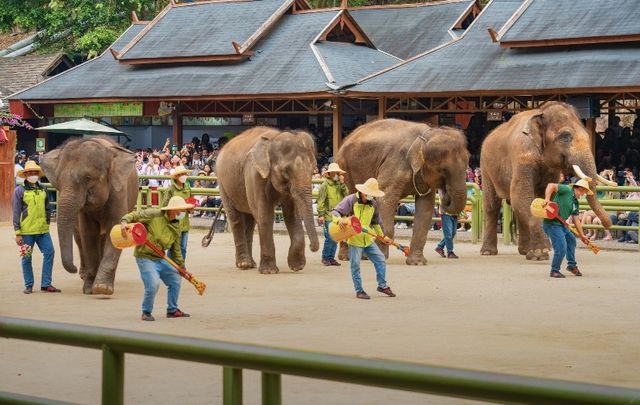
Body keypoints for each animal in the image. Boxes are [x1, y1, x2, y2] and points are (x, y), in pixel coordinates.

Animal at [40, 137, 138, 294]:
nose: (73, 269)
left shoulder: (119, 193)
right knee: (80, 239)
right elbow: (88, 234)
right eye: (58, 180)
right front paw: (88, 289)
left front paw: (103, 288)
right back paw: (84, 275)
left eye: (87, 178)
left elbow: (114, 231)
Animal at [216, 125, 320, 274]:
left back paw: (251, 264)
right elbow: (265, 214)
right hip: (223, 183)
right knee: (236, 218)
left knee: (250, 220)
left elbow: (292, 215)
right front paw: (269, 271)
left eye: (313, 170)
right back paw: (244, 264)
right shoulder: (254, 174)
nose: (312, 247)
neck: (274, 138)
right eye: (286, 171)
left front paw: (297, 266)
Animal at [480, 101, 616, 258]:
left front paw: (538, 252)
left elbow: (543, 196)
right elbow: (521, 194)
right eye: (565, 136)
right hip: (486, 168)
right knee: (492, 205)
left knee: (515, 207)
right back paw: (488, 252)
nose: (607, 224)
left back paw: (525, 251)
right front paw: (542, 252)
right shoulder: (522, 156)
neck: (541, 112)